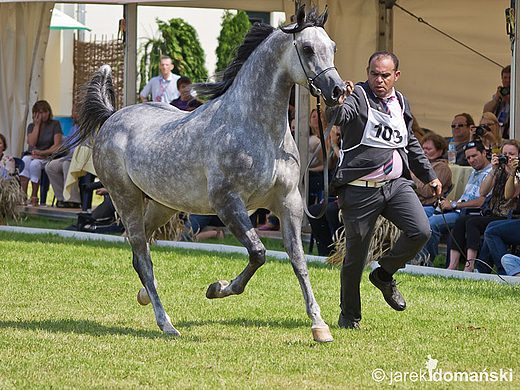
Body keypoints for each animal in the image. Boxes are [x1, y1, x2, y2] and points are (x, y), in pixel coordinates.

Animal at [71, 6, 344, 342]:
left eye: (333, 47)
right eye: (306, 48)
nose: (337, 91)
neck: (259, 131)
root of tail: (111, 117)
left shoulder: (288, 203)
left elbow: (299, 261)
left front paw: (319, 326)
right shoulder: (228, 203)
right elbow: (258, 253)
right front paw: (217, 288)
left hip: (162, 205)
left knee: (140, 249)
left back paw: (146, 294)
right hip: (127, 200)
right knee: (143, 257)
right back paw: (166, 323)